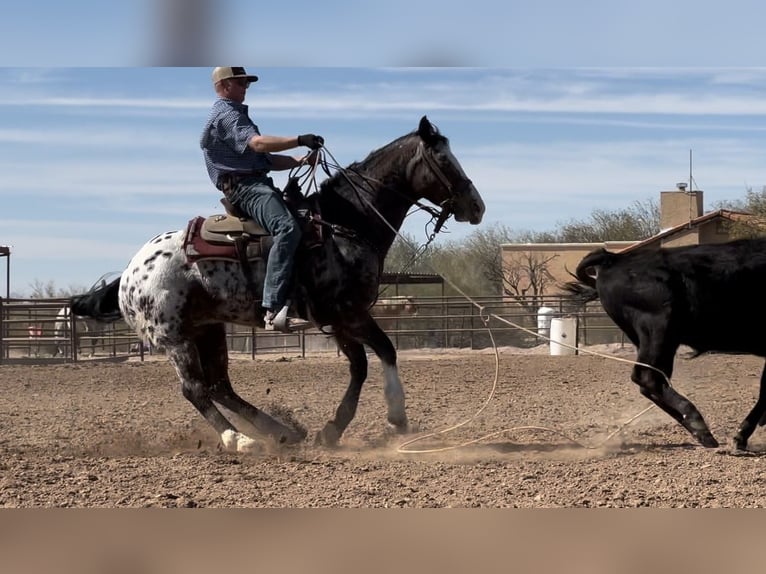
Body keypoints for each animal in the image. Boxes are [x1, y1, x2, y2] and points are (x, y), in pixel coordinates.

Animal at [75, 117, 488, 454]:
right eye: (444, 160)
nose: (477, 206)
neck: (343, 223)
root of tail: (129, 273)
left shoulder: (336, 319)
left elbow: (363, 364)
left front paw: (335, 429)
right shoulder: (346, 312)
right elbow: (381, 353)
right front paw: (392, 418)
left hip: (208, 329)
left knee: (220, 385)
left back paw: (282, 431)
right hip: (174, 338)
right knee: (195, 389)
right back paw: (240, 440)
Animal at [564, 236, 766, 452]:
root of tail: (614, 259)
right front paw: (741, 436)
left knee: (653, 382)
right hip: (658, 330)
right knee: (647, 377)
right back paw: (698, 424)